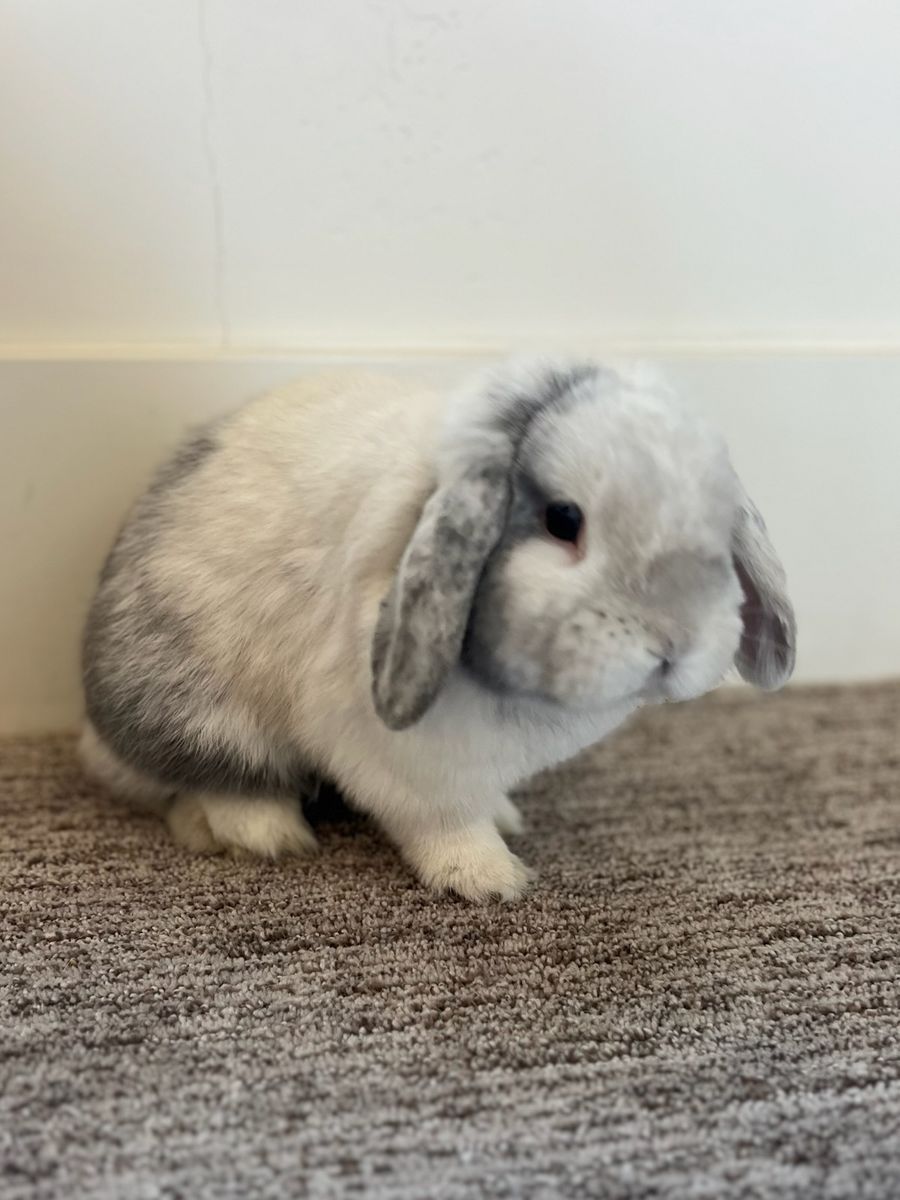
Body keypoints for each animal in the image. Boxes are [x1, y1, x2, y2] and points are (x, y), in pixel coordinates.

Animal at [79, 359, 796, 901]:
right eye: (564, 520)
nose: (676, 640)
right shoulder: (407, 760)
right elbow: (441, 822)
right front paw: (488, 879)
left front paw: (505, 822)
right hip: (201, 707)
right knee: (210, 778)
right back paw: (266, 834)